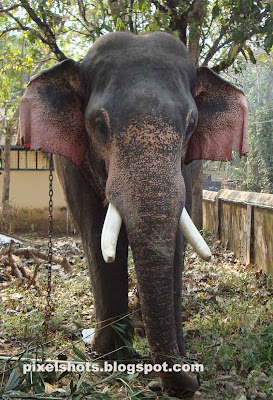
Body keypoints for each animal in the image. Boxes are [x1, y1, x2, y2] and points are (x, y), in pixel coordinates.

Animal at [17, 32, 246, 398]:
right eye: (98, 124)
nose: (192, 380)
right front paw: (109, 359)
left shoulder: (188, 169)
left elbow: (177, 240)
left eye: (191, 124)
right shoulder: (72, 166)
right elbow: (94, 231)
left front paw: (180, 359)